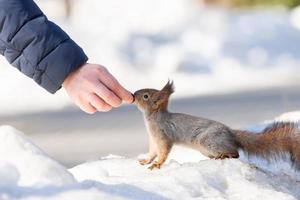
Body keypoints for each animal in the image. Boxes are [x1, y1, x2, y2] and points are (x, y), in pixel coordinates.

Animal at [134, 81, 300, 170]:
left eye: (146, 96)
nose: (134, 94)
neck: (153, 117)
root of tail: (231, 133)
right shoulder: (153, 139)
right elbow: (153, 151)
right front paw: (146, 160)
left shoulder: (163, 135)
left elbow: (163, 152)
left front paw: (157, 164)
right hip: (206, 148)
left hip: (209, 141)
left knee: (235, 153)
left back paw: (224, 156)